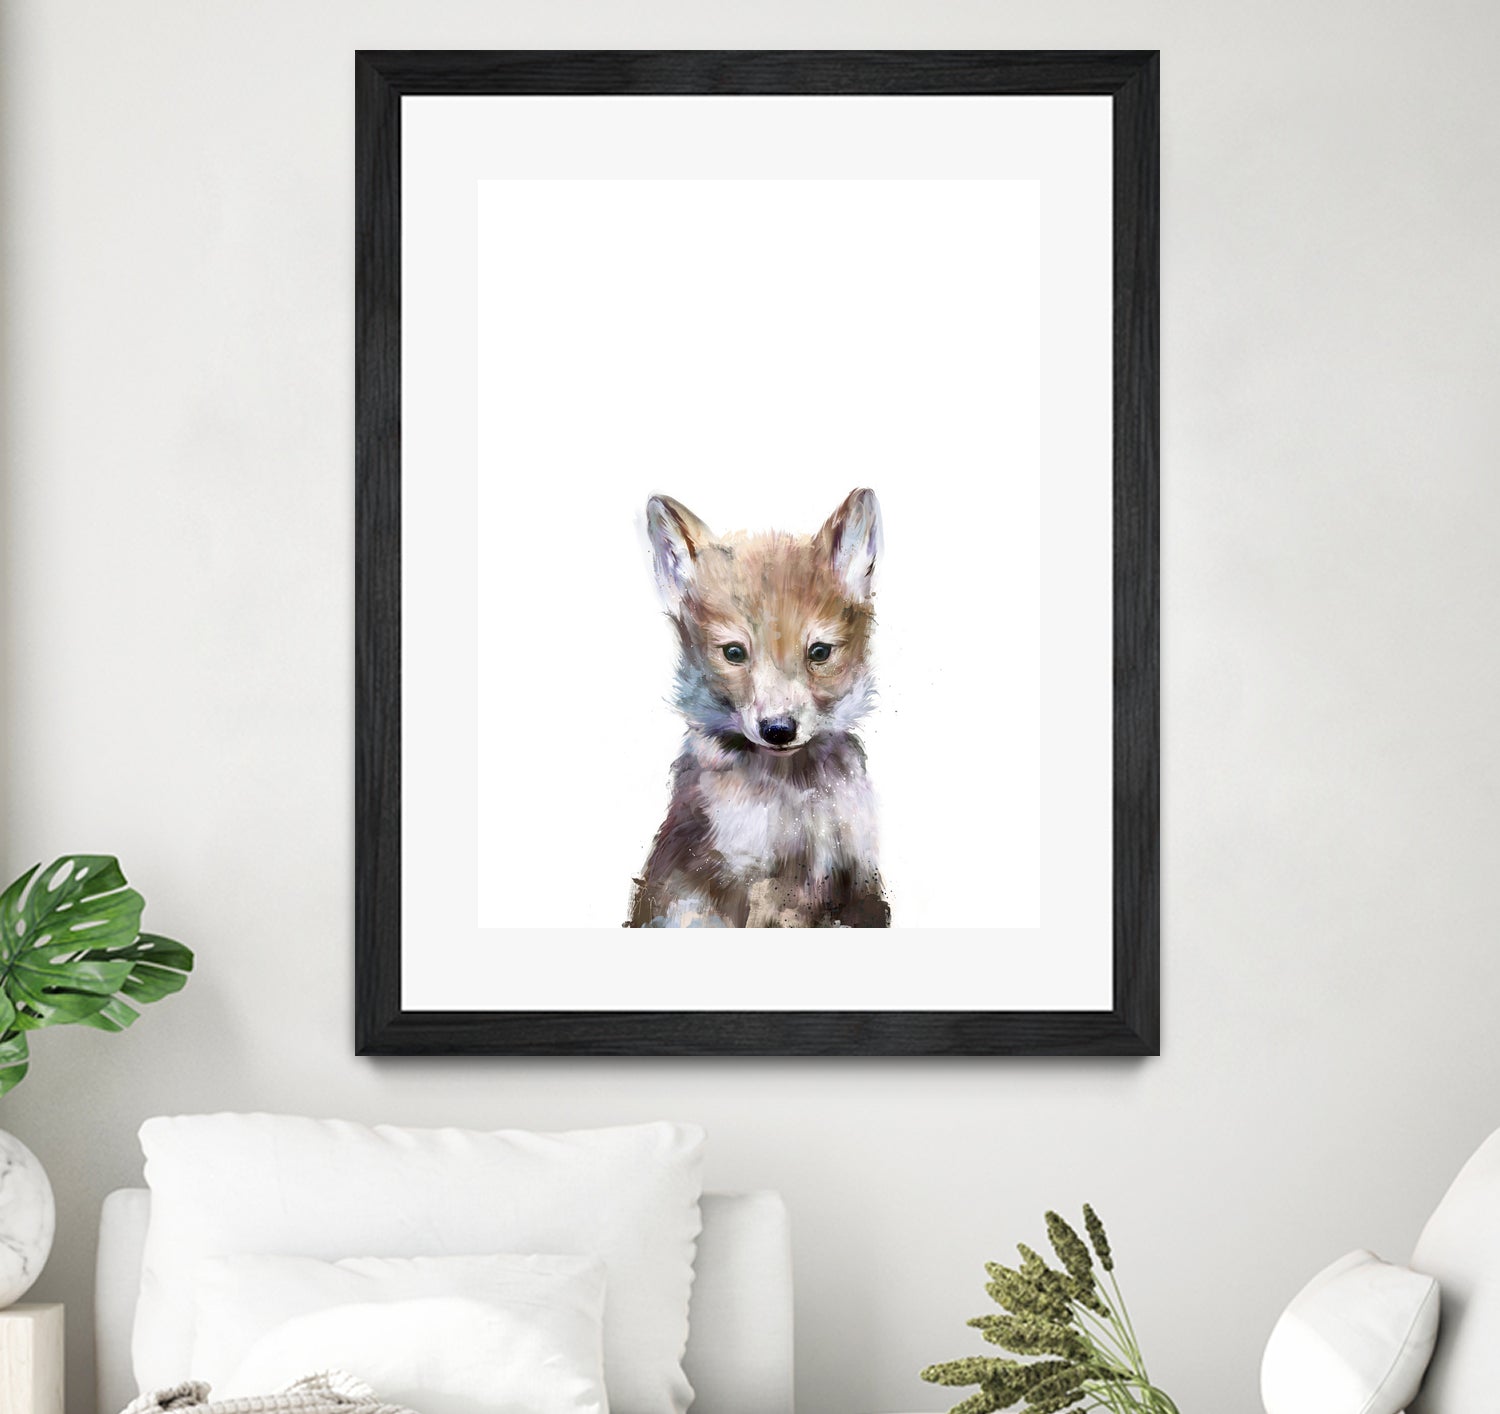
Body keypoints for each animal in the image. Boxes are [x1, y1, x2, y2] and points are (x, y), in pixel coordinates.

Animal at [628, 489, 891, 928]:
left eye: (820, 652)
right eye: (734, 653)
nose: (779, 730)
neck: (795, 796)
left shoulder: (857, 877)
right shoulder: (747, 880)